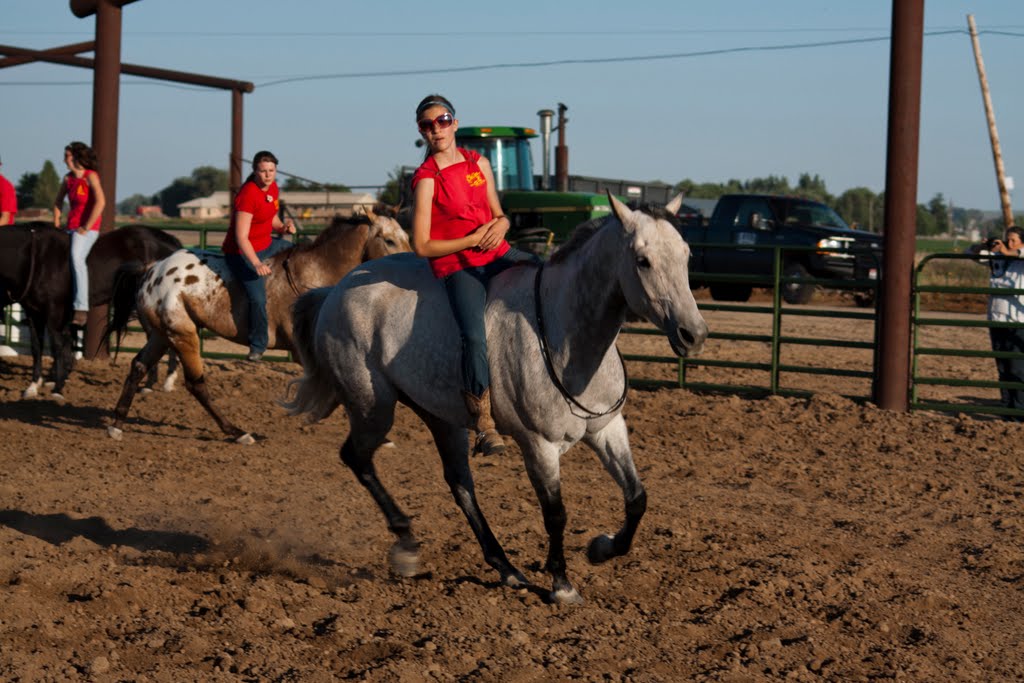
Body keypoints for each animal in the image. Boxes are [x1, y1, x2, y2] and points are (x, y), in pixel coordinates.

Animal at [103, 208, 407, 444]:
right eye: (389, 240)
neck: (314, 275)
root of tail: (152, 269)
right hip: (182, 334)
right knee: (196, 384)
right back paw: (237, 432)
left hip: (161, 333)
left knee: (139, 366)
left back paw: (117, 424)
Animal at [282, 192, 712, 602]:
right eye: (643, 260)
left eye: (687, 254)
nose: (694, 333)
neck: (561, 331)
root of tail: (334, 291)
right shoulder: (538, 446)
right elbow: (555, 513)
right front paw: (561, 584)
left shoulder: (607, 429)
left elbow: (637, 498)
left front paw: (602, 548)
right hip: (372, 406)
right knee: (357, 458)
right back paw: (406, 543)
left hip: (441, 417)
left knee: (459, 483)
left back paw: (505, 567)